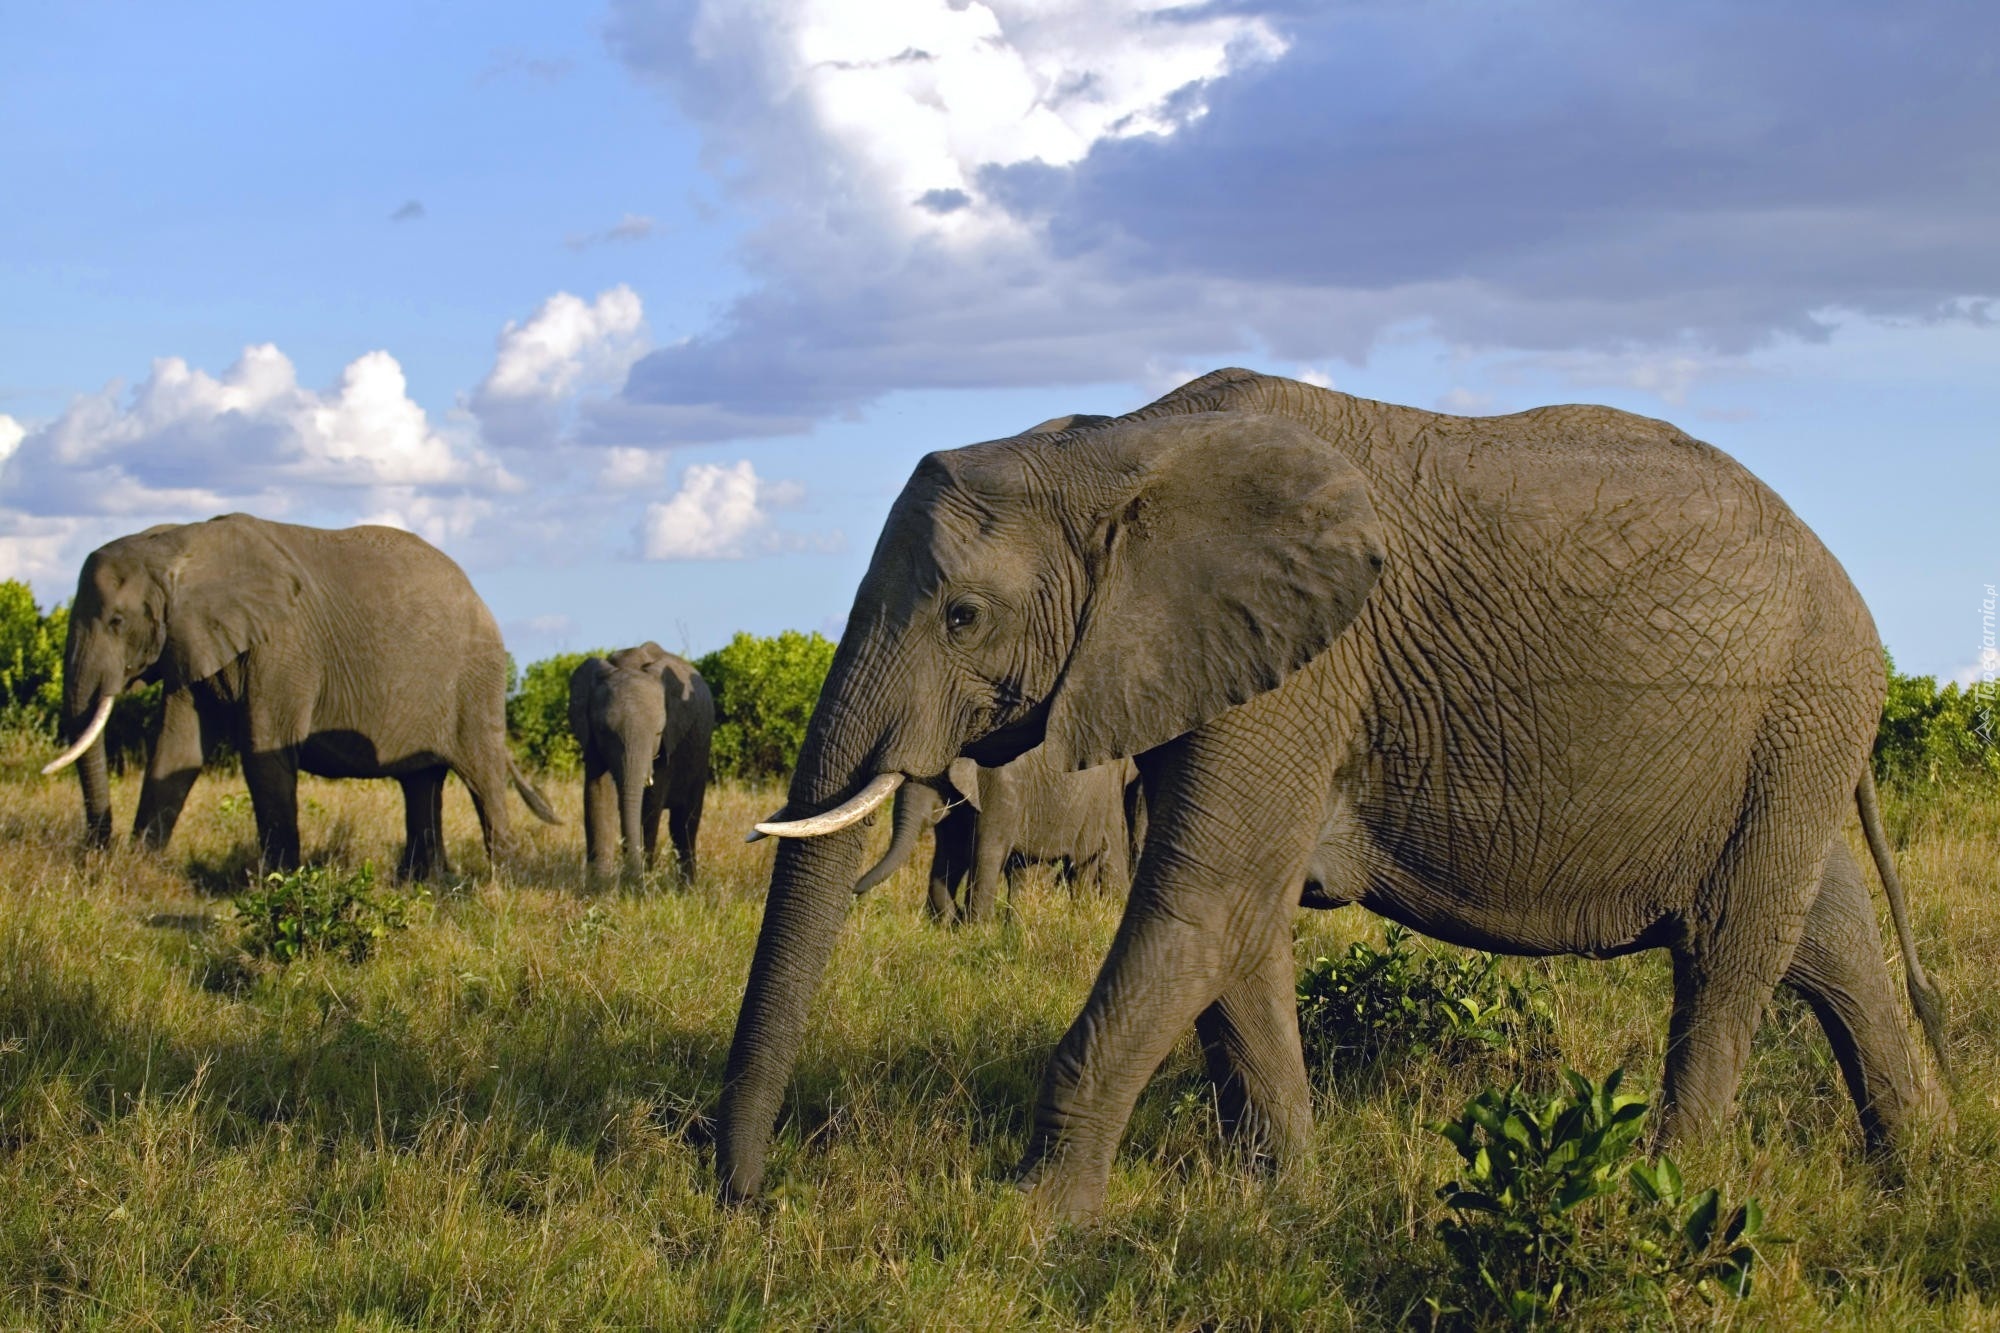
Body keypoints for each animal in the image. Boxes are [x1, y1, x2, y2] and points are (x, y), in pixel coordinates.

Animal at [43, 512, 560, 876]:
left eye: (116, 621)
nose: (95, 850)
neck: (177, 544)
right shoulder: (192, 640)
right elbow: (177, 748)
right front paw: (139, 870)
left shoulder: (284, 649)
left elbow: (264, 752)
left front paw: (275, 881)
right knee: (420, 781)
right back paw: (423, 882)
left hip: (476, 680)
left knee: (482, 775)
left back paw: (499, 882)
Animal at [568, 636, 716, 880]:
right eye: (603, 731)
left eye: (658, 733)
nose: (631, 875)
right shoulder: (591, 741)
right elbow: (597, 794)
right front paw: (599, 882)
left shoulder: (670, 742)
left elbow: (651, 803)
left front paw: (640, 880)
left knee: (683, 824)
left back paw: (687, 886)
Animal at [852, 748, 1152, 924]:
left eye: (934, 778)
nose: (854, 893)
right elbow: (952, 853)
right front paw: (947, 924)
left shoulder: (1000, 788)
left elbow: (986, 853)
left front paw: (974, 931)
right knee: (1022, 871)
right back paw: (1014, 926)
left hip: (1099, 801)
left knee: (1086, 864)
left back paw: (1094, 916)